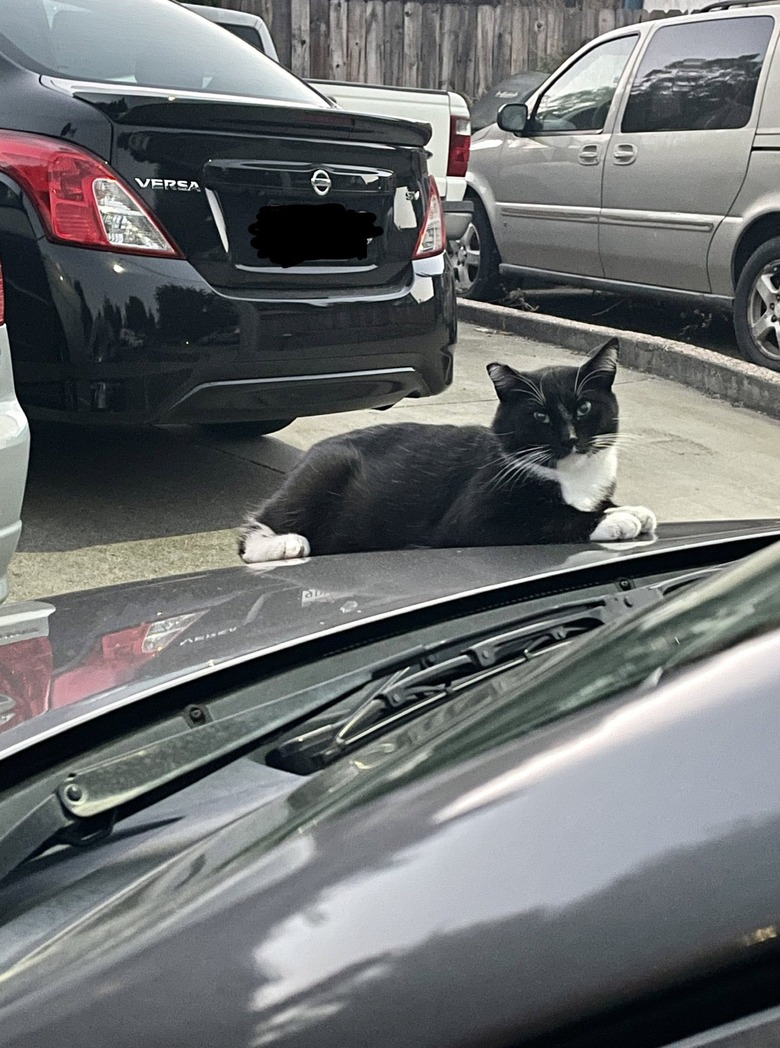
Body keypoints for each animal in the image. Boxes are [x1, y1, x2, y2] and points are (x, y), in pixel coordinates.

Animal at [241, 339, 654, 561]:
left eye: (584, 407)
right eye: (540, 416)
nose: (570, 438)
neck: (569, 474)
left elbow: (592, 504)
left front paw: (630, 509)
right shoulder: (475, 518)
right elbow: (553, 518)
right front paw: (615, 521)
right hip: (328, 467)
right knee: (257, 527)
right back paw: (284, 545)